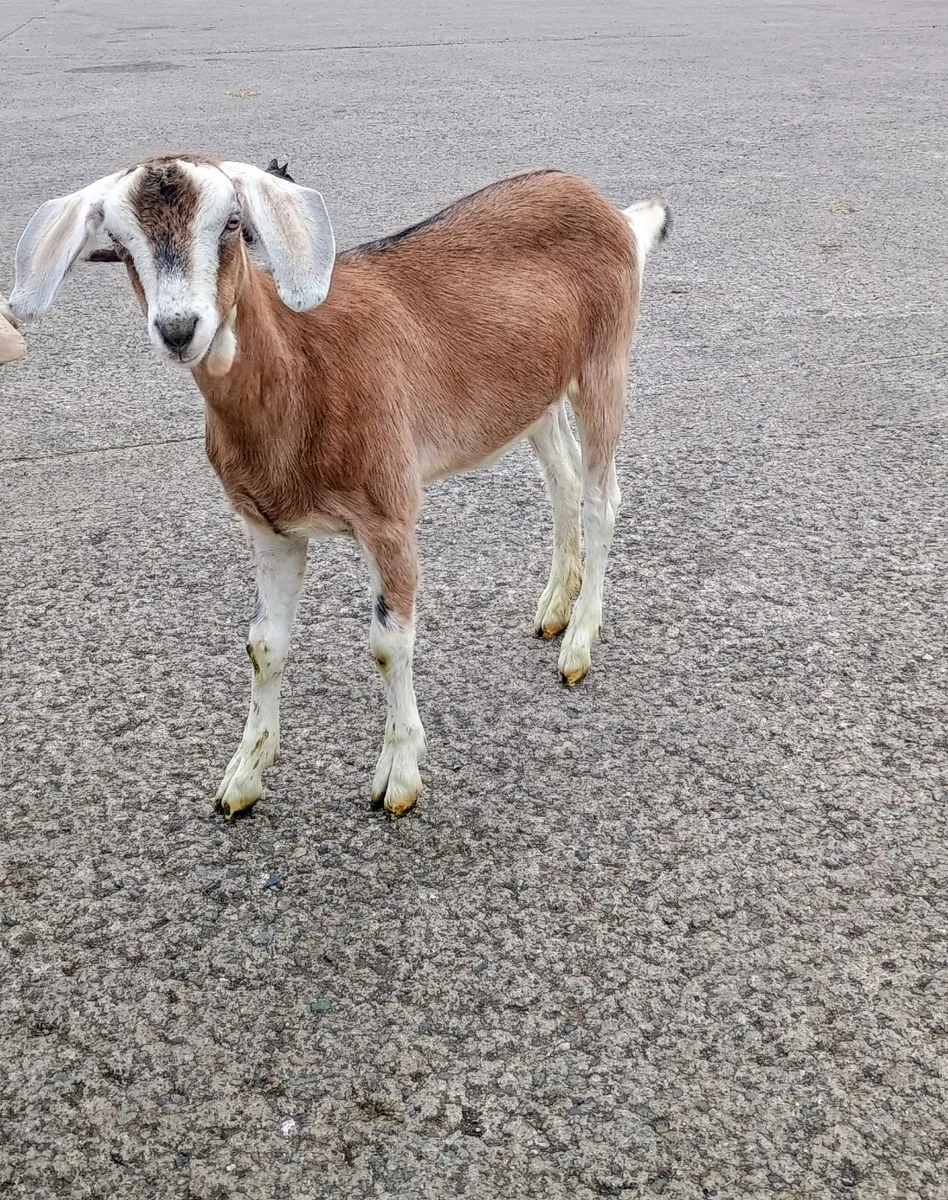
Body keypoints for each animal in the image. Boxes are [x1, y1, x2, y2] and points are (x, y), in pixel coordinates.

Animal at [9, 155, 670, 818]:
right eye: (120, 244)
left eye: (231, 223)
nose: (178, 329)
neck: (305, 371)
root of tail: (611, 211)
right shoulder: (269, 525)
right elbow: (263, 644)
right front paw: (243, 779)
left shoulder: (390, 513)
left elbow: (388, 644)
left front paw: (399, 778)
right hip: (535, 395)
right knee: (562, 479)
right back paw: (555, 608)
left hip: (605, 361)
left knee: (602, 498)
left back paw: (578, 646)